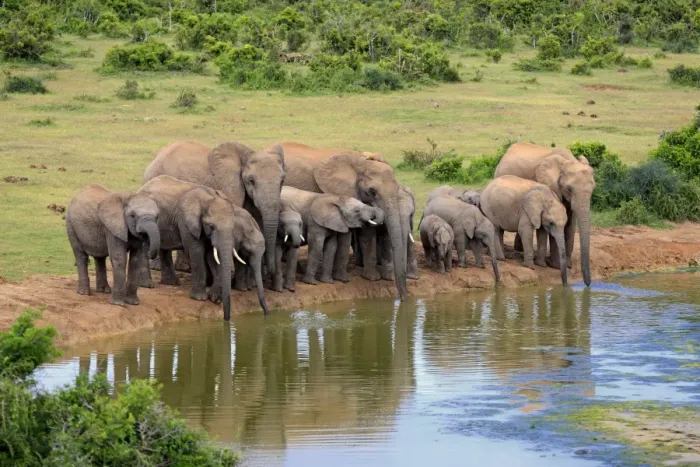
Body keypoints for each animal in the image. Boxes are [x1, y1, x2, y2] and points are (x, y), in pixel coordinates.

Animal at [138, 175, 237, 320]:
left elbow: (212, 256)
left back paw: (172, 283)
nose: (226, 318)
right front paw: (199, 299)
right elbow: (196, 251)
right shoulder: (186, 222)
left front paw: (215, 298)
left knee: (164, 249)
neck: (208, 197)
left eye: (233, 227)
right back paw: (147, 285)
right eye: (211, 226)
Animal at [144, 140, 285, 278]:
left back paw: (185, 268)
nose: (271, 272)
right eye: (251, 181)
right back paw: (157, 267)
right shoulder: (229, 187)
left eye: (282, 181)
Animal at [271, 141, 409, 299]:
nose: (403, 298)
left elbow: (367, 234)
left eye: (397, 189)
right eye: (371, 192)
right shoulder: (342, 193)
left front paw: (371, 278)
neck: (359, 161)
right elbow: (346, 234)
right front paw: (342, 279)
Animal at [494, 142, 595, 286]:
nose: (587, 284)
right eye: (569, 189)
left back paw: (519, 248)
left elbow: (570, 225)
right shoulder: (550, 186)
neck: (568, 161)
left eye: (593, 189)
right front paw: (555, 265)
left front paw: (568, 265)